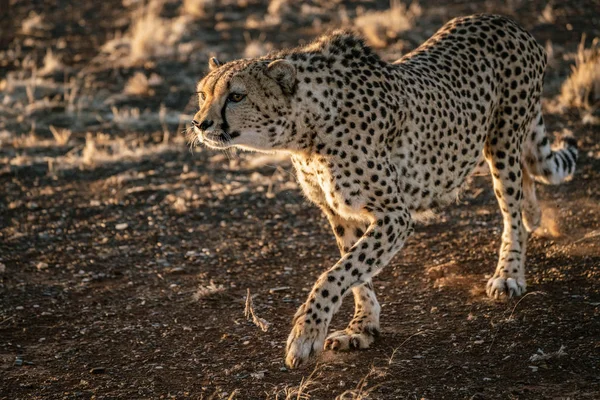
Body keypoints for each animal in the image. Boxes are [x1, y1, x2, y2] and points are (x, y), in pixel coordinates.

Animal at [191, 15, 576, 368]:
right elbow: (355, 273)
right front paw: (362, 327)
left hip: (500, 141)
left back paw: (509, 272)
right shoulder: (338, 211)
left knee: (510, 206)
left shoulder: (395, 215)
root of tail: (507, 21)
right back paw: (533, 214)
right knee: (525, 172)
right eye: (202, 94)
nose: (199, 123)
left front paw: (306, 332)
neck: (305, 131)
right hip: (475, 149)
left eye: (236, 96)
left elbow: (336, 273)